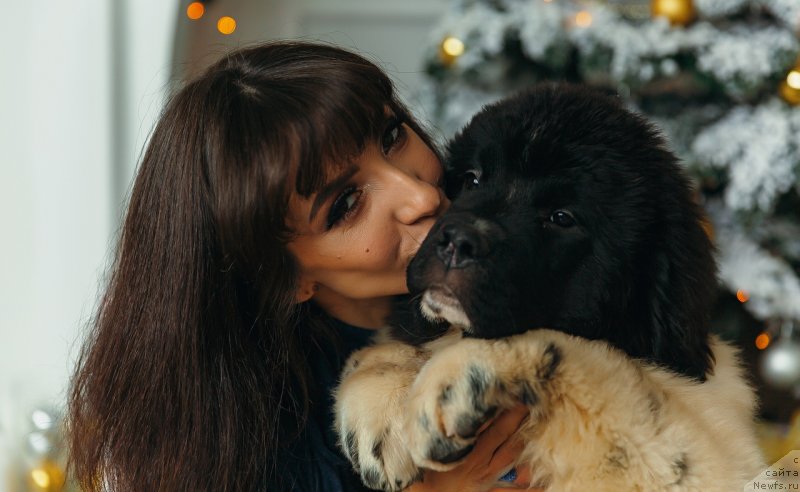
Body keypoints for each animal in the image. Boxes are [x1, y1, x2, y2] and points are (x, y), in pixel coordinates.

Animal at [332, 85, 764, 492]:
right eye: (472, 179)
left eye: (561, 217)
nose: (457, 241)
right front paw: (377, 405)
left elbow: (594, 361)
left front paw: (451, 382)